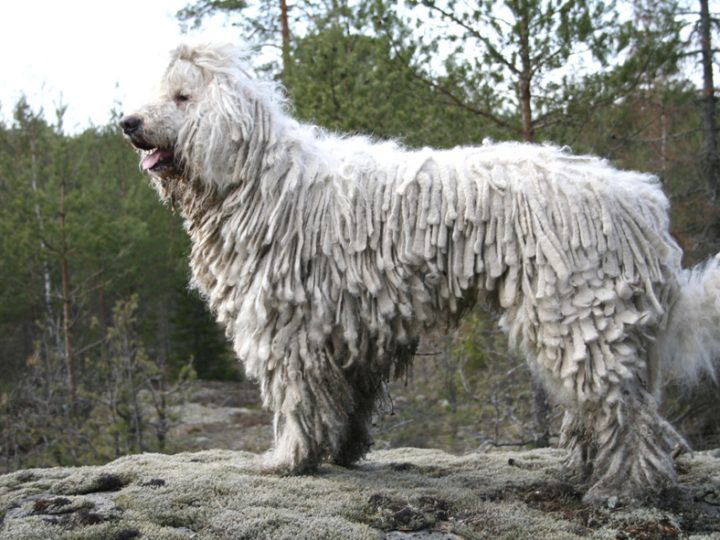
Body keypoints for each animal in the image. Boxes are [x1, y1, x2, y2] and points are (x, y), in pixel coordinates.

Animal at [122, 44, 720, 504]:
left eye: (181, 97)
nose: (128, 123)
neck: (260, 181)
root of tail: (642, 204)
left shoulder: (287, 323)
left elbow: (296, 396)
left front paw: (286, 458)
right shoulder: (351, 327)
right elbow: (346, 398)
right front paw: (341, 451)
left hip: (577, 307)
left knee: (626, 410)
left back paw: (624, 487)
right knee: (610, 404)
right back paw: (587, 469)